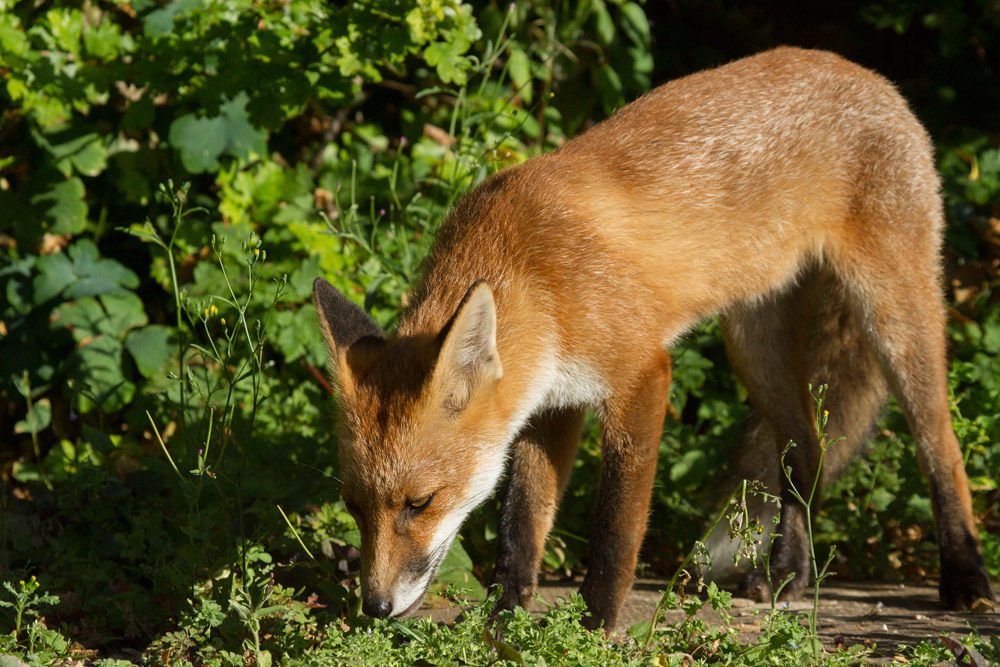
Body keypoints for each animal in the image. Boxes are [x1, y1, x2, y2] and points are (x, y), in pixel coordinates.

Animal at [312, 47, 995, 632]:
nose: (374, 607)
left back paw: (965, 578)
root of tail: (866, 74)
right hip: (753, 343)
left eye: (420, 503)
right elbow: (521, 523)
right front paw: (503, 615)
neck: (532, 273)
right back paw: (787, 573)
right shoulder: (550, 403)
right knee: (806, 448)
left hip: (894, 315)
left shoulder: (641, 376)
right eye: (354, 506)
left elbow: (616, 527)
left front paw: (594, 624)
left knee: (941, 446)